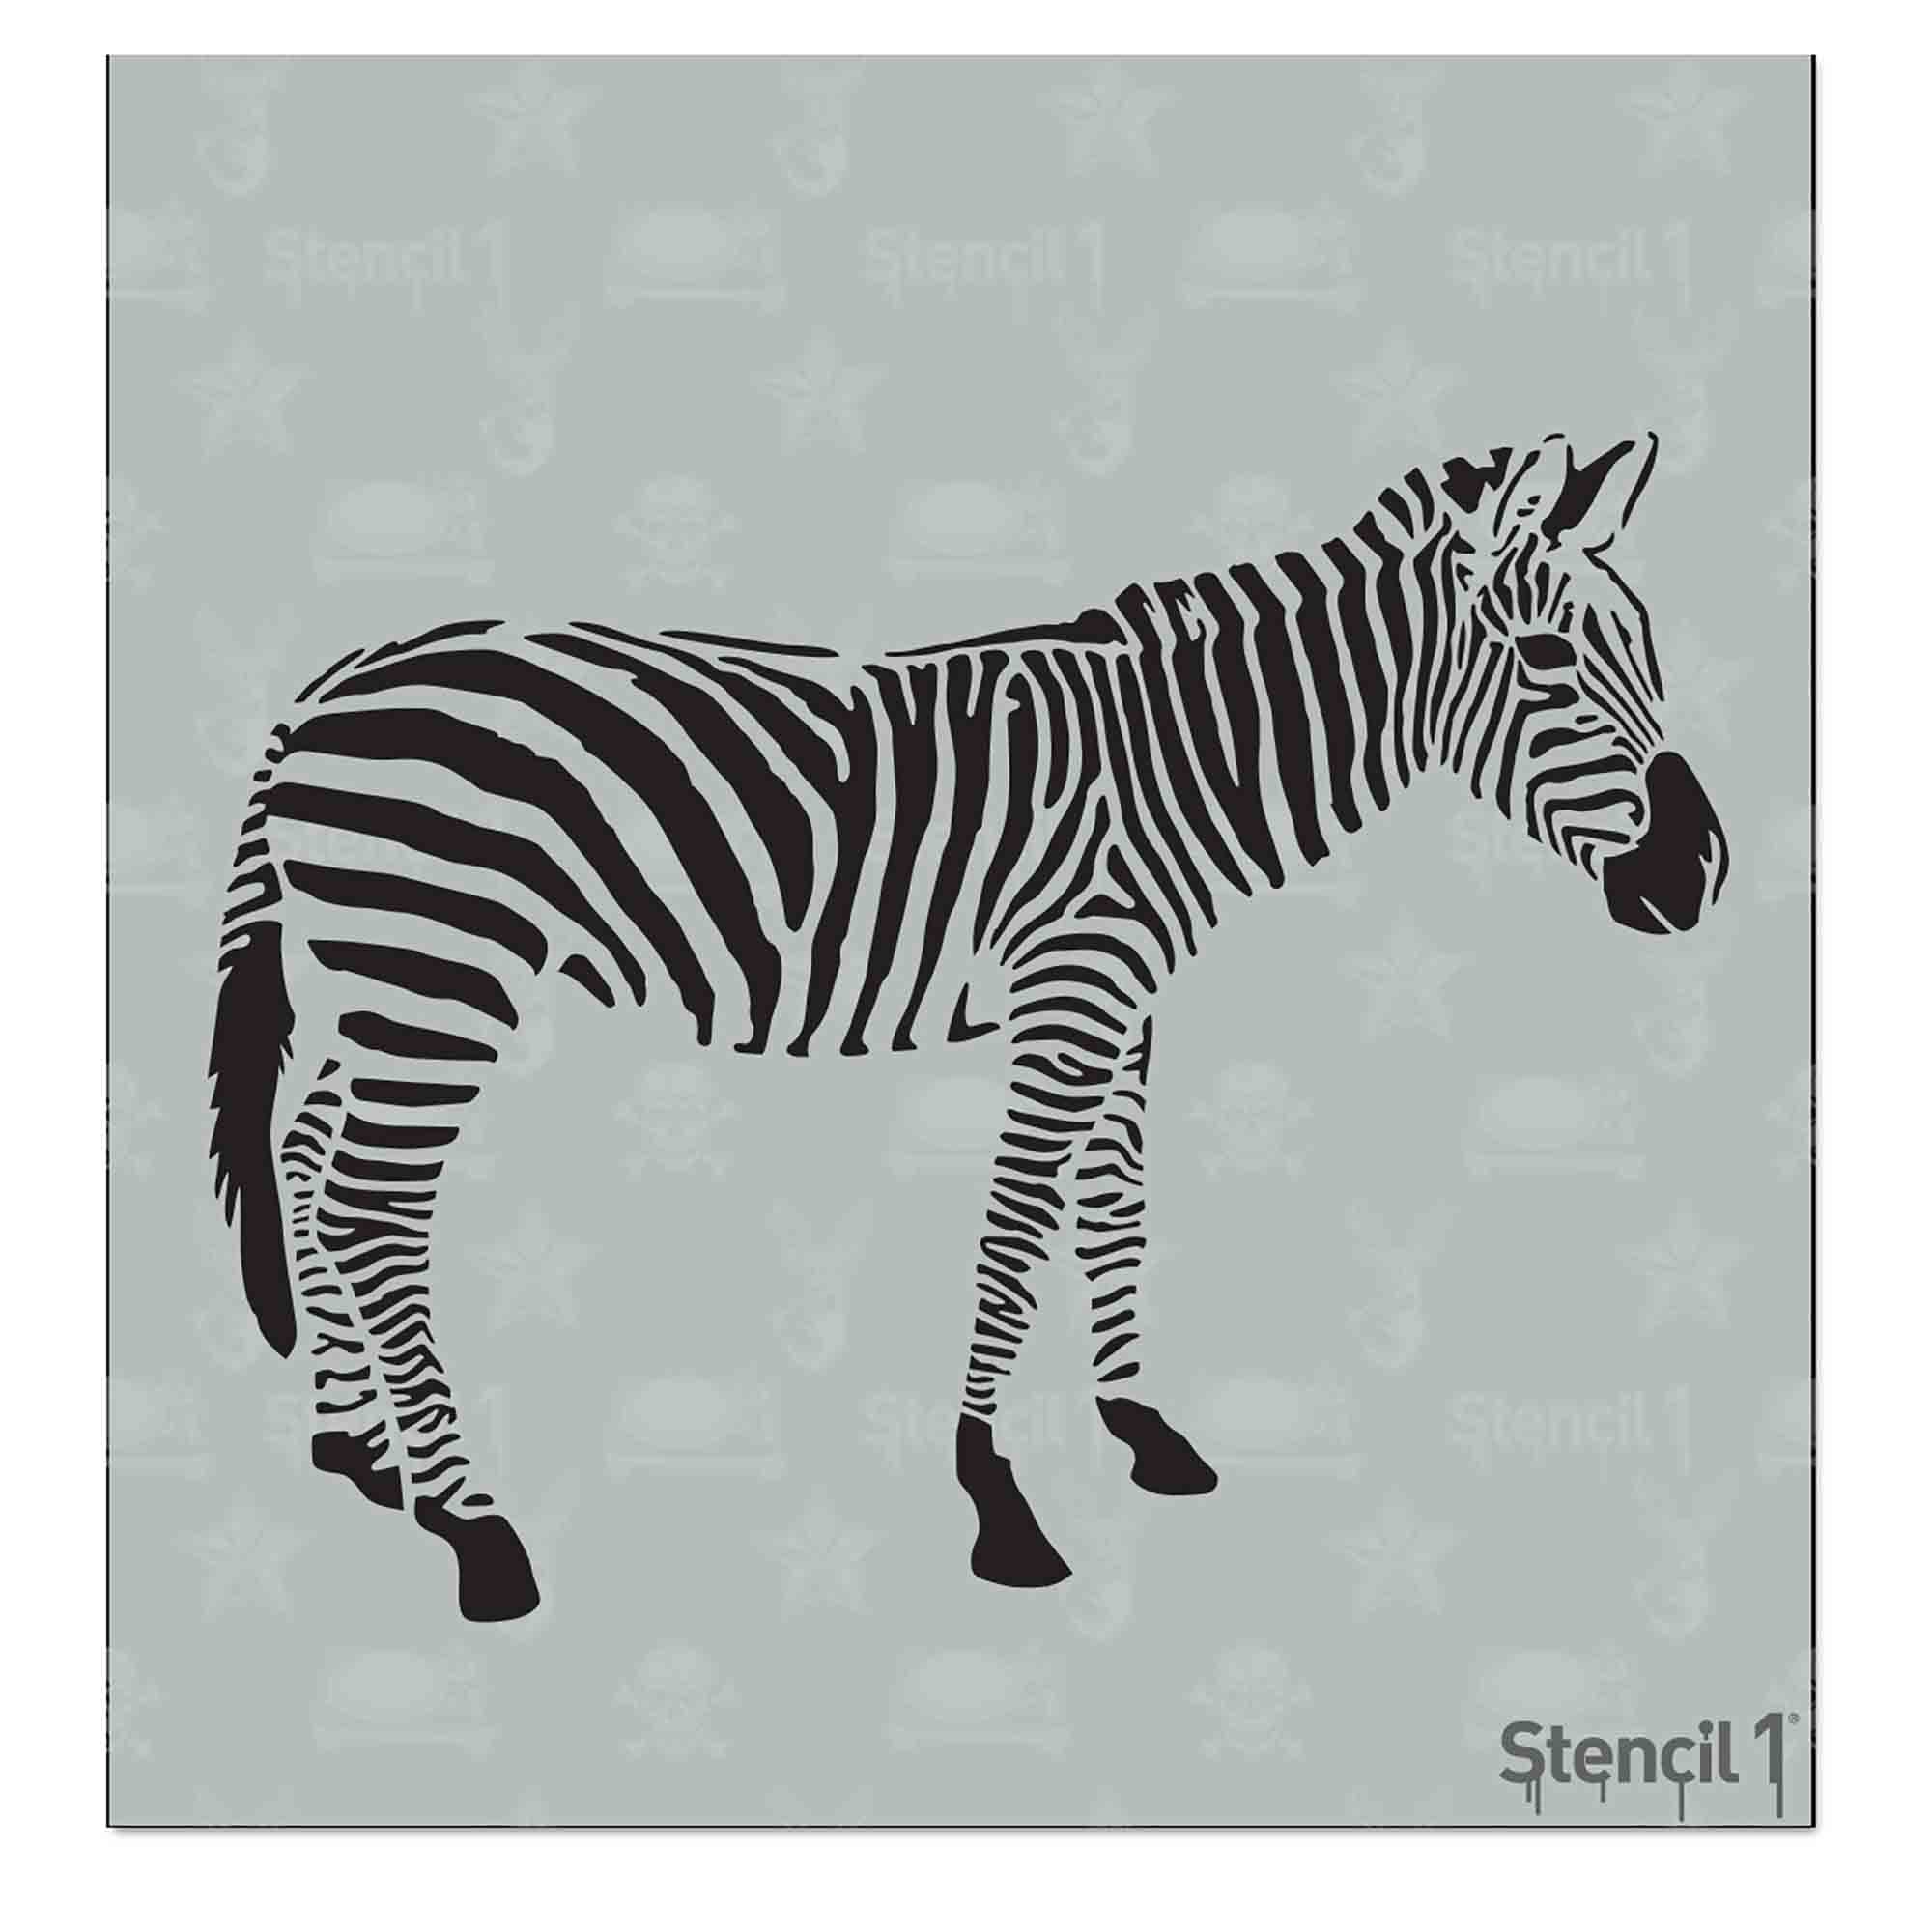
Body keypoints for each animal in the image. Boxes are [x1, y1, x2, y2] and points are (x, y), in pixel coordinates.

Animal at [207, 431, 1727, 1621]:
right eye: (1545, 656)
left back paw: (363, 1452)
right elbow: (1017, 1224)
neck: (1180, 760)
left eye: (1651, 651)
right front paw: (1000, 1500)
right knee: (368, 1208)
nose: (1699, 873)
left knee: (305, 1161)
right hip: (439, 968)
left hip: (369, 973)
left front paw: (1143, 1433)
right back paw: (477, 1531)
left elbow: (1114, 1206)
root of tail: (323, 686)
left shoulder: (1129, 994)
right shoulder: (1071, 986)